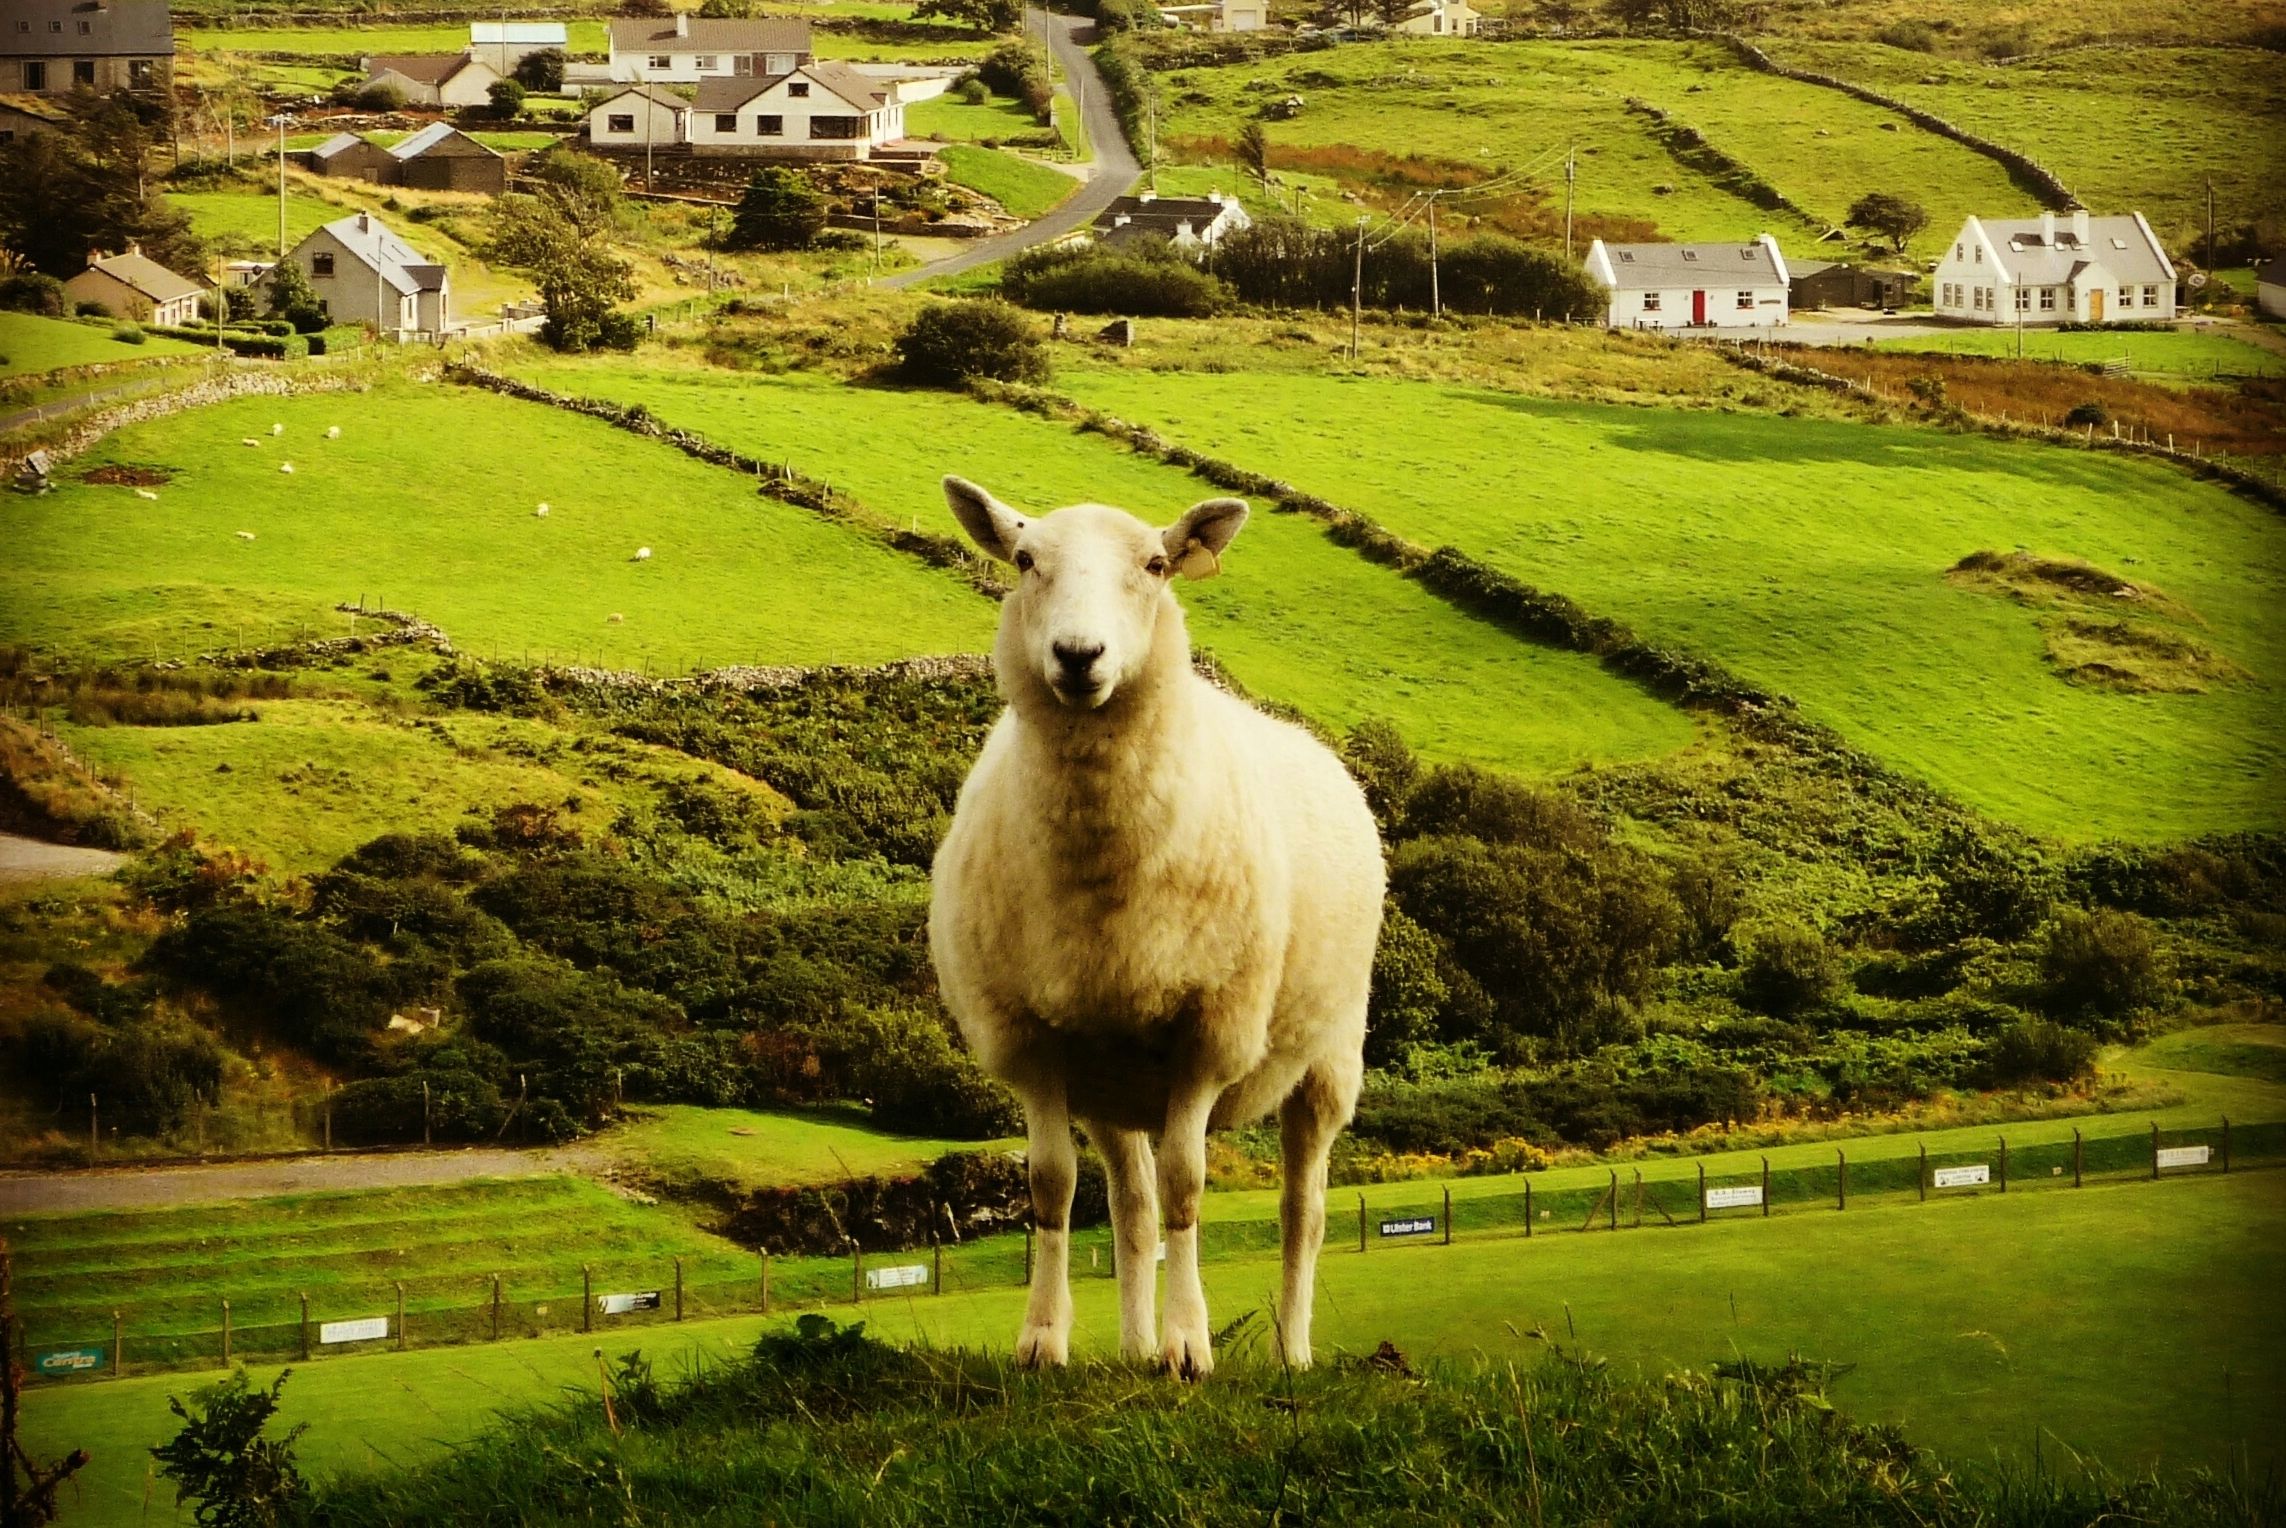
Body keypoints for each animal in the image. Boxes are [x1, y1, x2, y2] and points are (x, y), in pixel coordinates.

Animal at [930, 477, 1383, 1380]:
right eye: (1024, 560)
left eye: (1156, 565)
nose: (1078, 654)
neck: (1100, 874)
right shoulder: (1031, 1039)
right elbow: (1052, 1185)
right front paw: (1044, 1340)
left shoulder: (1207, 1033)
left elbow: (1186, 1185)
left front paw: (1188, 1344)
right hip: (1109, 1077)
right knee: (1131, 1204)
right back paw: (1133, 1346)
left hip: (1329, 1055)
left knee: (1302, 1206)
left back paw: (1292, 1348)